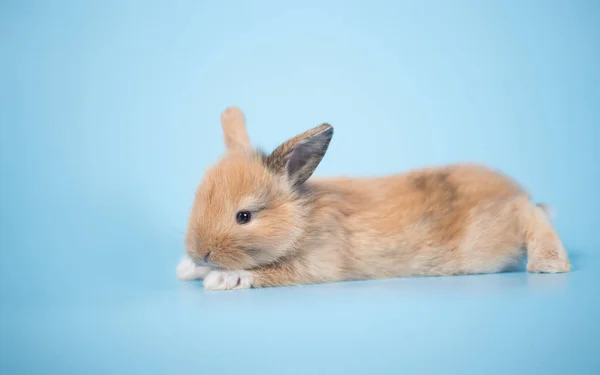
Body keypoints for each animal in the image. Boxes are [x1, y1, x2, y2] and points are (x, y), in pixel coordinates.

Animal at [176, 107, 568, 292]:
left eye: (244, 216)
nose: (200, 252)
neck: (301, 222)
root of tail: (513, 190)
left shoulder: (317, 264)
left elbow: (264, 272)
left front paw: (222, 279)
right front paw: (190, 269)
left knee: (531, 213)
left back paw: (549, 264)